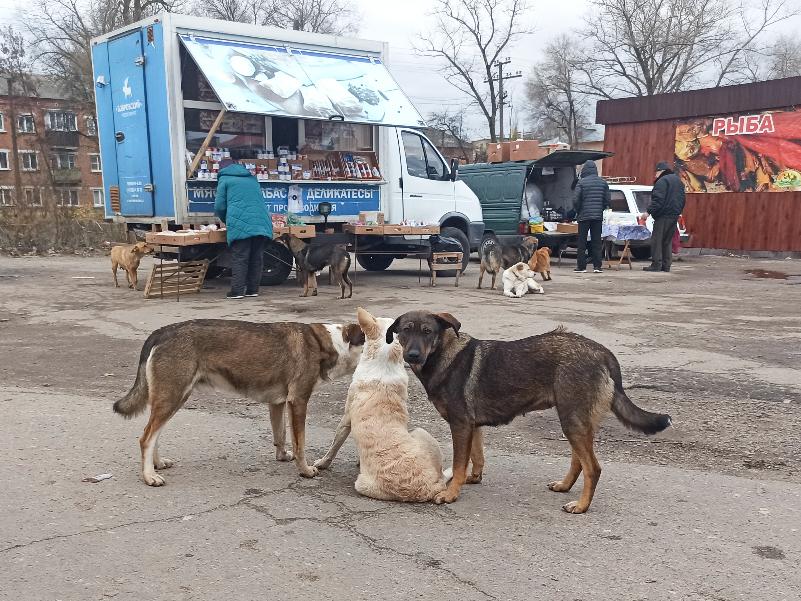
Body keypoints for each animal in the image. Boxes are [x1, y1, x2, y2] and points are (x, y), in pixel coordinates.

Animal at [114, 318, 364, 482]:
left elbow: (280, 436)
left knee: (153, 434)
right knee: (146, 438)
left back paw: (156, 465)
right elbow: (300, 444)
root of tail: (162, 331)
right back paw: (149, 476)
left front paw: (282, 456)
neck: (327, 344)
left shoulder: (278, 403)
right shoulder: (298, 401)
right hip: (172, 398)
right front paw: (305, 470)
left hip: (171, 400)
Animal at [384, 312, 672, 512]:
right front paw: (472, 479)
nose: (412, 355)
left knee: (593, 467)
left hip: (572, 420)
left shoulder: (461, 424)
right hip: (576, 421)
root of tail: (602, 352)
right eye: (405, 332)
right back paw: (565, 486)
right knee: (579, 460)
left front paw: (451, 493)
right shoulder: (472, 426)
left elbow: (458, 463)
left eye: (427, 332)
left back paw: (581, 505)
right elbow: (476, 457)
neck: (442, 354)